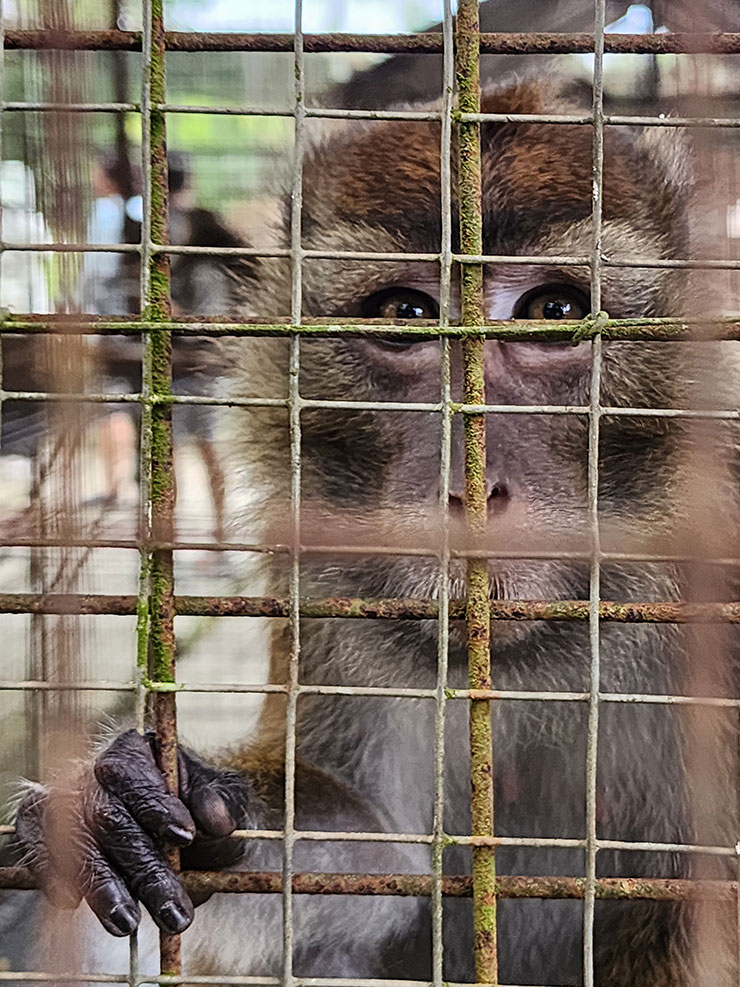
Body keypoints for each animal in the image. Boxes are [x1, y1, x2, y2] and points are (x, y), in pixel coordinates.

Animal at [10, 77, 740, 987]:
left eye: (555, 310)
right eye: (404, 312)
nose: (467, 487)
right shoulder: (325, 585)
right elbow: (378, 857)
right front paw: (147, 800)